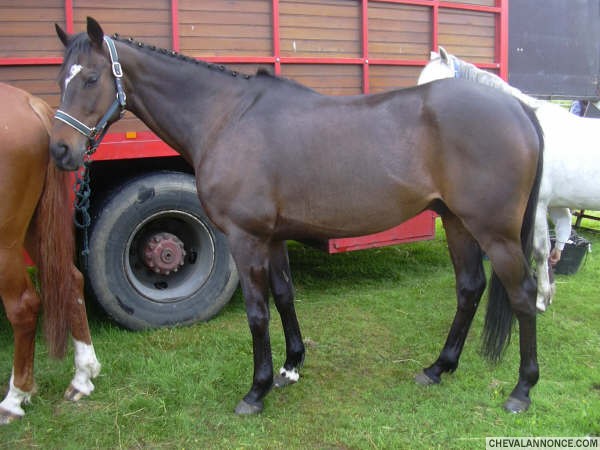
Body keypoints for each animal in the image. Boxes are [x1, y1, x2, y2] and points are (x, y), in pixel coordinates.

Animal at [0, 82, 100, 424]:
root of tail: (31, 103)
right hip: (35, 226)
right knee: (71, 279)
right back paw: (82, 377)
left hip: (7, 236)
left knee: (25, 305)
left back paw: (15, 397)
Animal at [48, 18, 544, 414]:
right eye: (60, 78)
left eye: (90, 77)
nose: (60, 151)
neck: (226, 118)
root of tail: (518, 107)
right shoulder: (271, 237)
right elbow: (285, 296)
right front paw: (291, 366)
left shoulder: (245, 237)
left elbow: (257, 311)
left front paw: (256, 391)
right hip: (458, 222)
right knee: (470, 288)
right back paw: (439, 368)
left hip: (495, 233)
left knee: (523, 294)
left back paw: (521, 390)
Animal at [420, 47, 596, 312]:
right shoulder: (553, 204)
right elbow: (556, 241)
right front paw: (548, 293)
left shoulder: (539, 205)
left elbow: (540, 250)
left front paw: (541, 300)